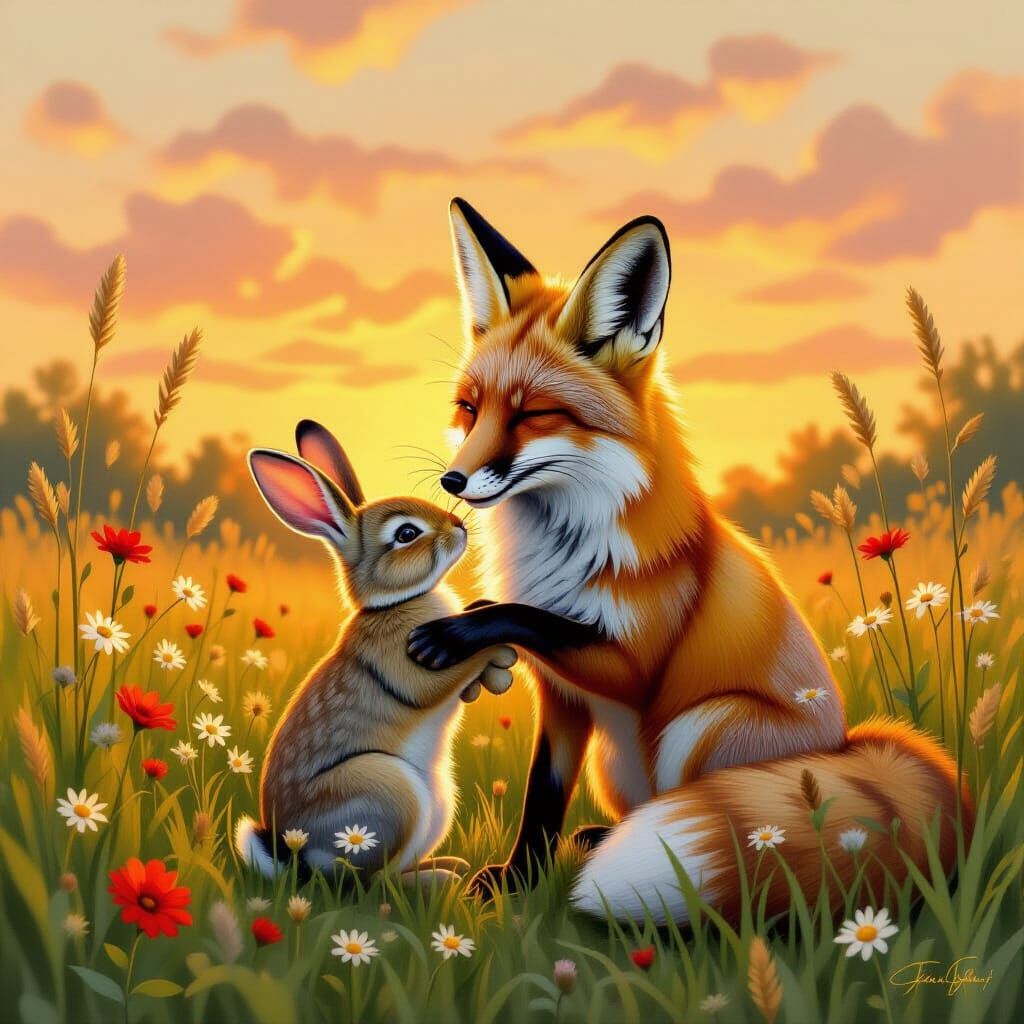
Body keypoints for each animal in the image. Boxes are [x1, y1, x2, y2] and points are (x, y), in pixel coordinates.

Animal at [234, 420, 517, 884]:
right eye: (407, 534)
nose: (458, 525)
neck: (394, 602)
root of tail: (295, 852)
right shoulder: (407, 665)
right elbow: (441, 676)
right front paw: (500, 653)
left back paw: (448, 867)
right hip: (386, 791)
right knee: (368, 883)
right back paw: (441, 880)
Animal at [405, 197, 971, 924]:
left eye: (533, 415)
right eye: (470, 409)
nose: (452, 481)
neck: (560, 549)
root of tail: (848, 748)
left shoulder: (630, 662)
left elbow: (527, 617)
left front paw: (457, 629)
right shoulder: (561, 698)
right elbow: (542, 795)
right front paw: (518, 882)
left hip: (701, 725)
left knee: (745, 837)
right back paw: (601, 842)